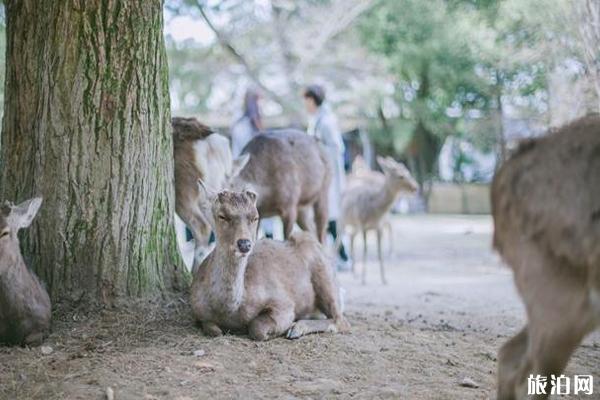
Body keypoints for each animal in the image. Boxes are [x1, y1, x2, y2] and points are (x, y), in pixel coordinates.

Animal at [188, 185, 346, 340]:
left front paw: (286, 327)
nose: (244, 244)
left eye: (255, 217)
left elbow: (257, 327)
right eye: (222, 216)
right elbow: (213, 330)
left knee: (340, 320)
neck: (230, 311)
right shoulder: (197, 310)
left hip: (325, 274)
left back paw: (296, 328)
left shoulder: (284, 302)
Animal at [338, 155, 418, 284]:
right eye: (401, 176)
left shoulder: (378, 227)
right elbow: (365, 250)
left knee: (351, 237)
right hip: (342, 221)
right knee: (338, 240)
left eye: (408, 172)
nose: (415, 187)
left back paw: (354, 273)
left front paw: (384, 279)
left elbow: (379, 252)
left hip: (355, 225)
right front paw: (364, 279)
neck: (375, 211)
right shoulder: (364, 225)